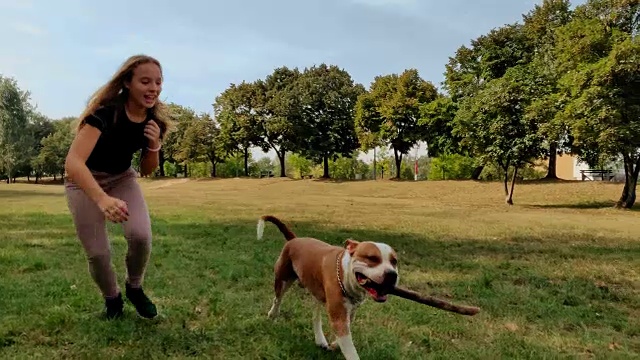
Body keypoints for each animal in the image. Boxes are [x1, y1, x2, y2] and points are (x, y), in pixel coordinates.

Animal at [256, 215, 400, 358]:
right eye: (372, 258)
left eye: (394, 261)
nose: (392, 274)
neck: (344, 273)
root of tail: (294, 239)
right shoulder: (339, 316)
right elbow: (350, 350)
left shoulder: (350, 312)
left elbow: (343, 336)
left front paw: (334, 344)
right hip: (283, 279)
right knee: (278, 298)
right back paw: (273, 314)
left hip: (316, 290)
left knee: (315, 315)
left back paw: (320, 340)